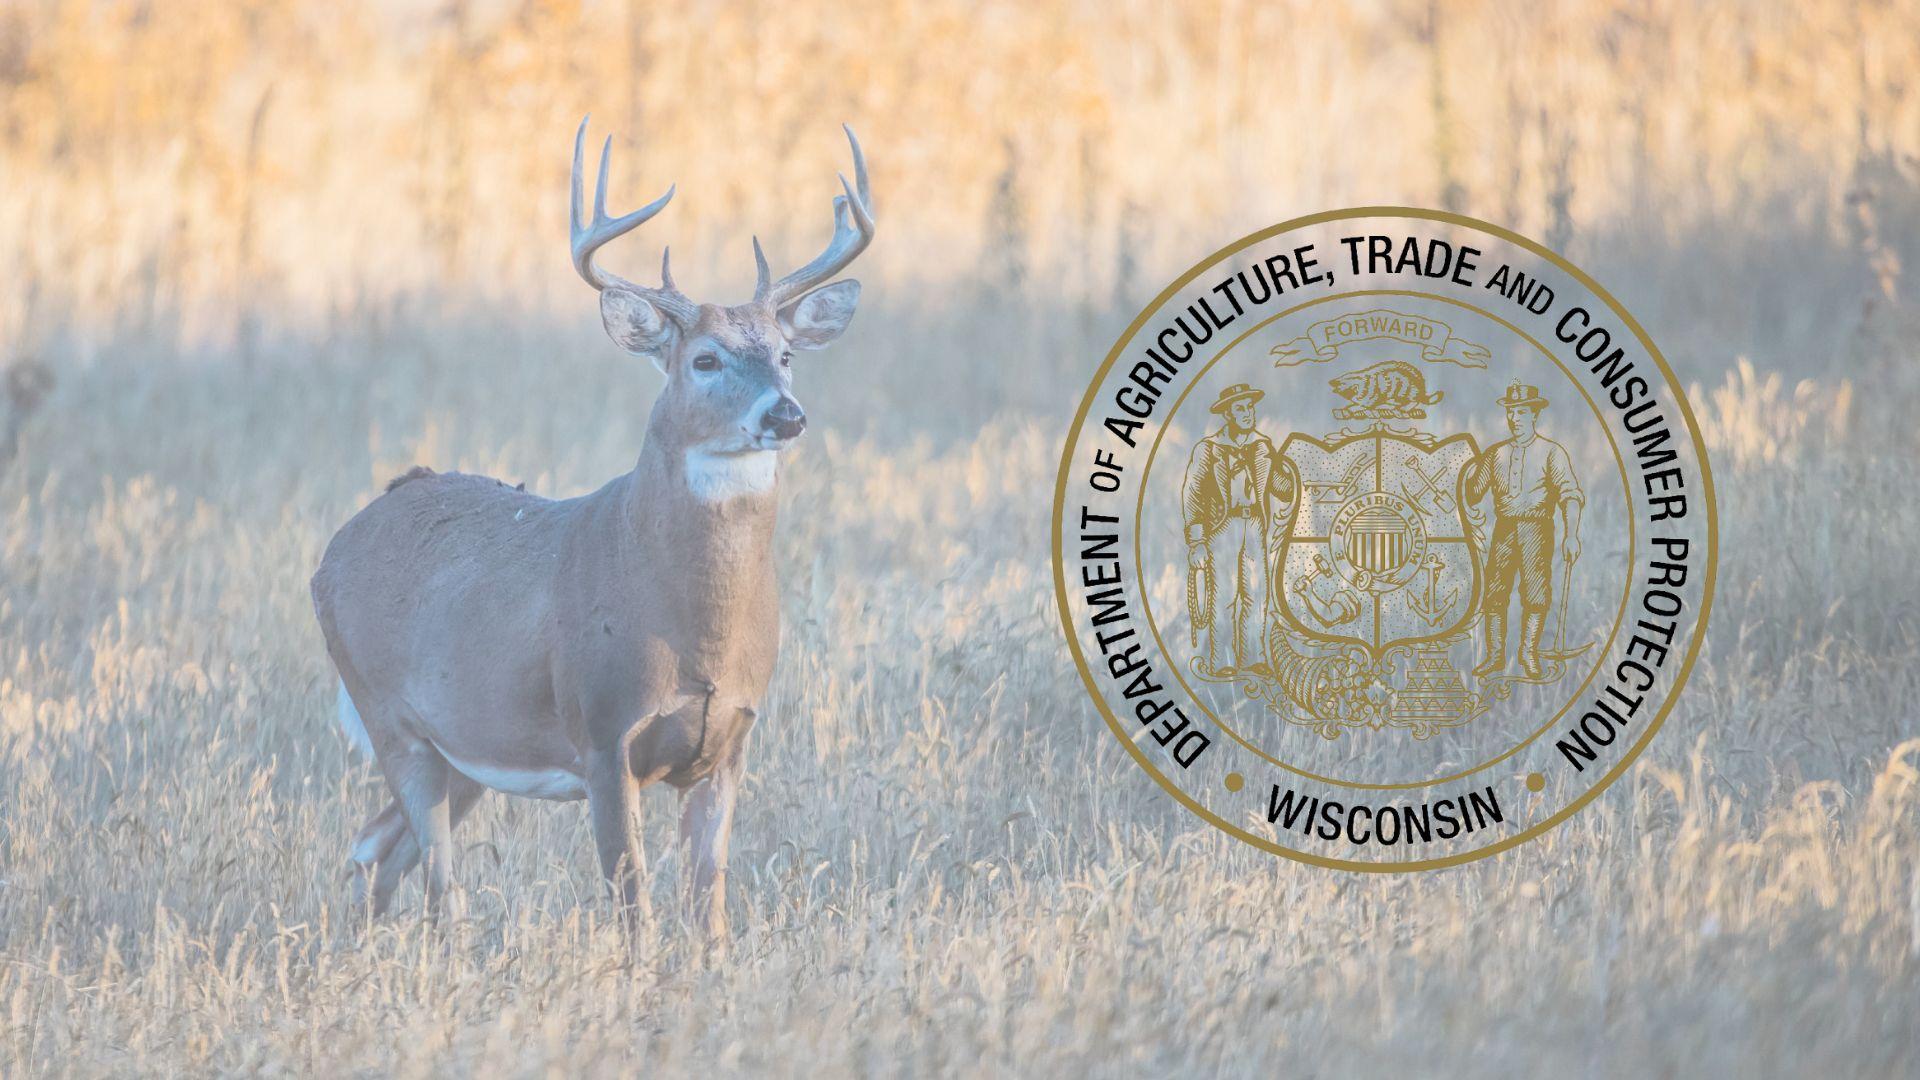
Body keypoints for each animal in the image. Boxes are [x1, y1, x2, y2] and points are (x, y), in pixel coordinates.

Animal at [310, 118, 873, 939]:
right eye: (706, 359)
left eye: (787, 354)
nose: (785, 414)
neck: (692, 626)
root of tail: (337, 547)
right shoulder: (605, 732)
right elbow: (634, 903)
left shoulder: (732, 740)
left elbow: (710, 904)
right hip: (389, 712)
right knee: (436, 882)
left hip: (464, 744)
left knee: (377, 848)